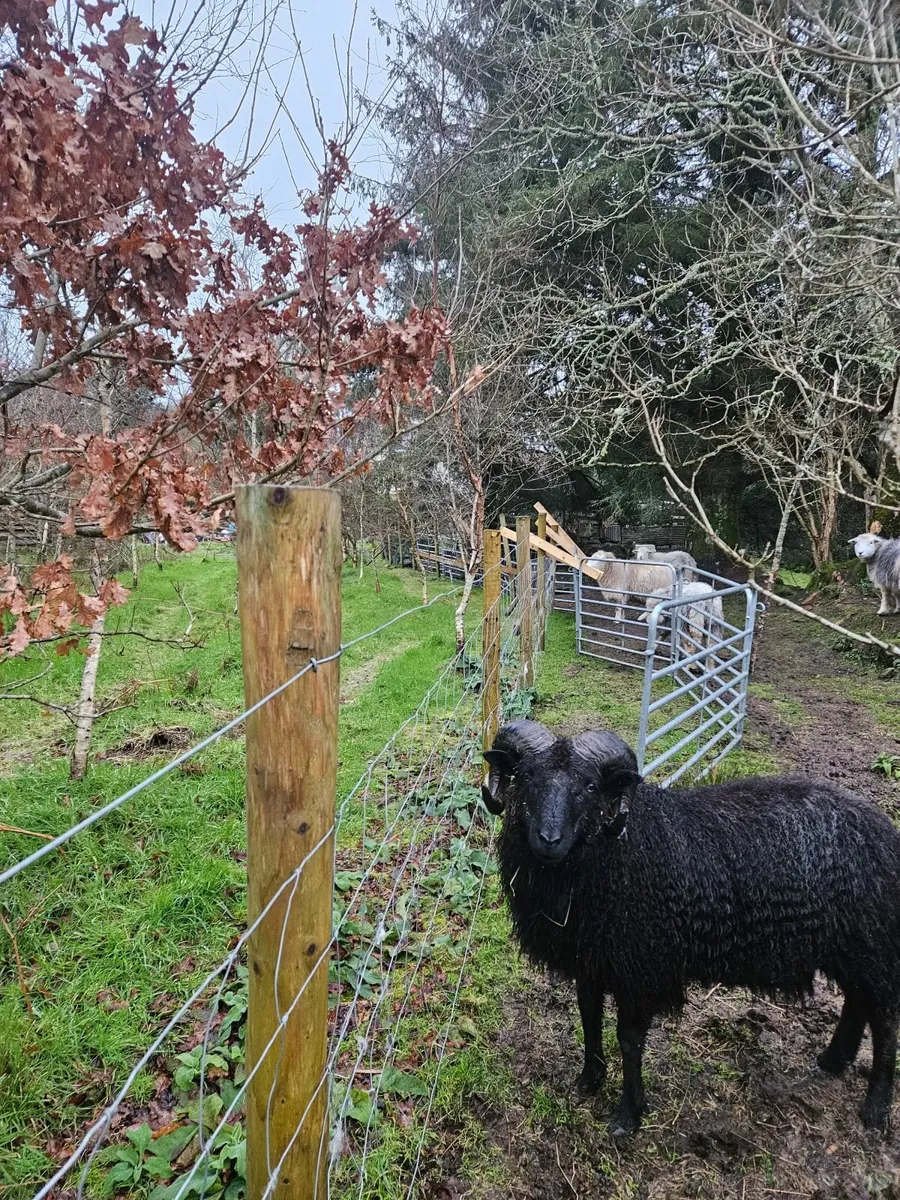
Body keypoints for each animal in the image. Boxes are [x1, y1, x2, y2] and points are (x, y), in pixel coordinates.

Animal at [482, 720, 900, 1136]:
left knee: (883, 1021)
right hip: (852, 950)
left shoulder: (640, 969)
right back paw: (833, 1060)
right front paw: (589, 1080)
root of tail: (885, 832)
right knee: (857, 1002)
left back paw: (875, 1109)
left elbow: (629, 1040)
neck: (620, 848)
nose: (549, 841)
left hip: (872, 946)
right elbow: (589, 1017)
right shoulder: (592, 961)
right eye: (526, 777)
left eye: (588, 787)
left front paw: (628, 1115)